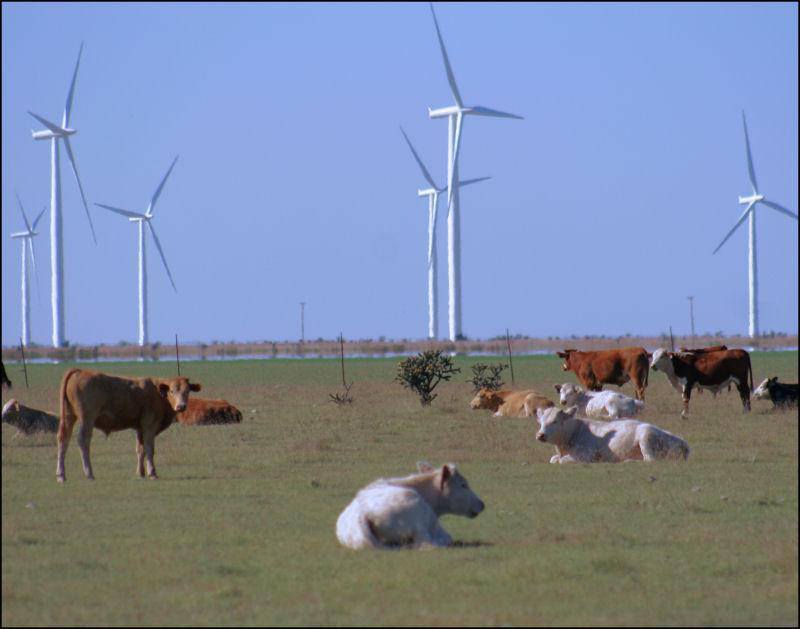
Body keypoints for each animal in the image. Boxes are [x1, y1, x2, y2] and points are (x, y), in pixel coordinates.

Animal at [57, 368, 202, 482]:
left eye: (187, 391)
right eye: (172, 391)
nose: (181, 406)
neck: (158, 393)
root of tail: (80, 371)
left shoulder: (140, 428)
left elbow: (140, 449)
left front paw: (140, 473)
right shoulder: (149, 425)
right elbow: (149, 448)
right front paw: (152, 472)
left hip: (69, 416)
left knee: (64, 439)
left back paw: (61, 475)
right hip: (87, 418)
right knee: (83, 440)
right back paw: (89, 473)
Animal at [535, 406, 690, 463]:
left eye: (555, 421)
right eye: (540, 422)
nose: (540, 435)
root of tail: (683, 443)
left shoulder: (586, 455)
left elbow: (560, 461)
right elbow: (553, 459)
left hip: (646, 437)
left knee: (649, 460)